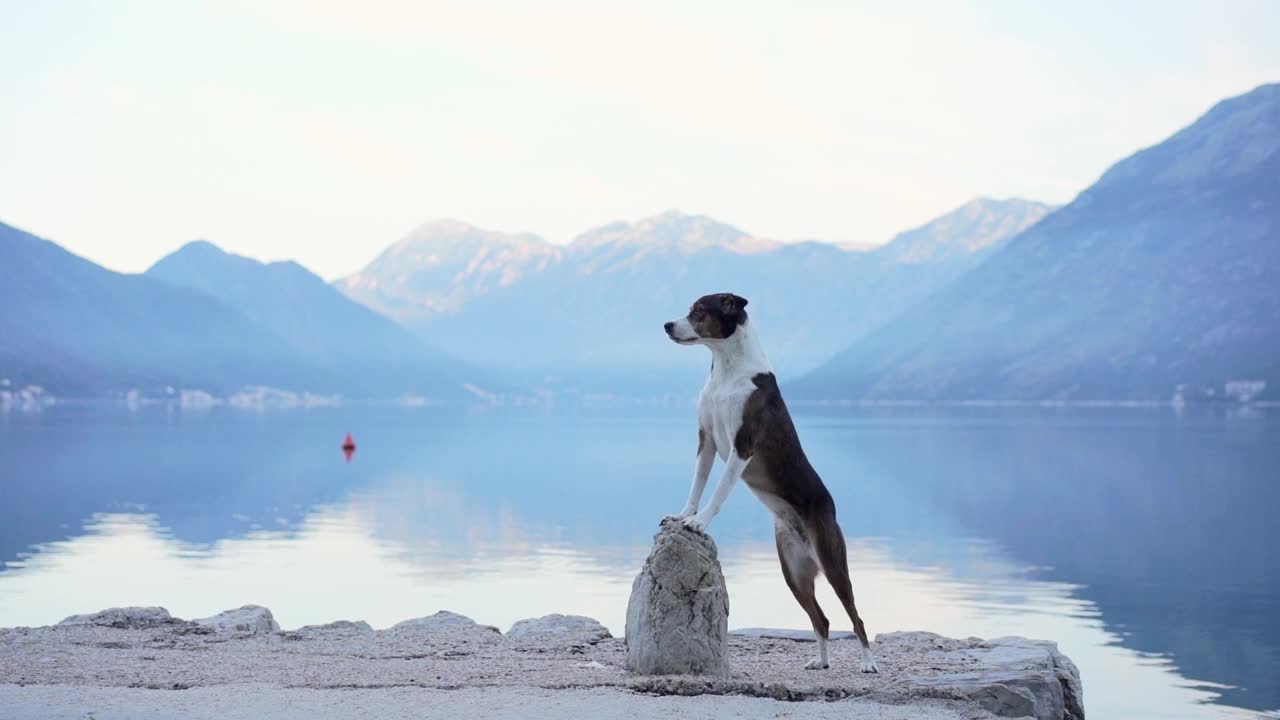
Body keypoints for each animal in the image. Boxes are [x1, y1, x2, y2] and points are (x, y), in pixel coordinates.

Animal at [665, 292, 875, 671]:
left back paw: (868, 662)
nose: (667, 325)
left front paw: (699, 522)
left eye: (699, 311)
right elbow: (697, 484)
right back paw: (820, 661)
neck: (728, 372)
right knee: (821, 619)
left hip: (833, 562)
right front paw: (684, 514)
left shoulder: (742, 447)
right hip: (793, 573)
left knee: (856, 617)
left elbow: (717, 492)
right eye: (690, 310)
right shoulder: (706, 439)